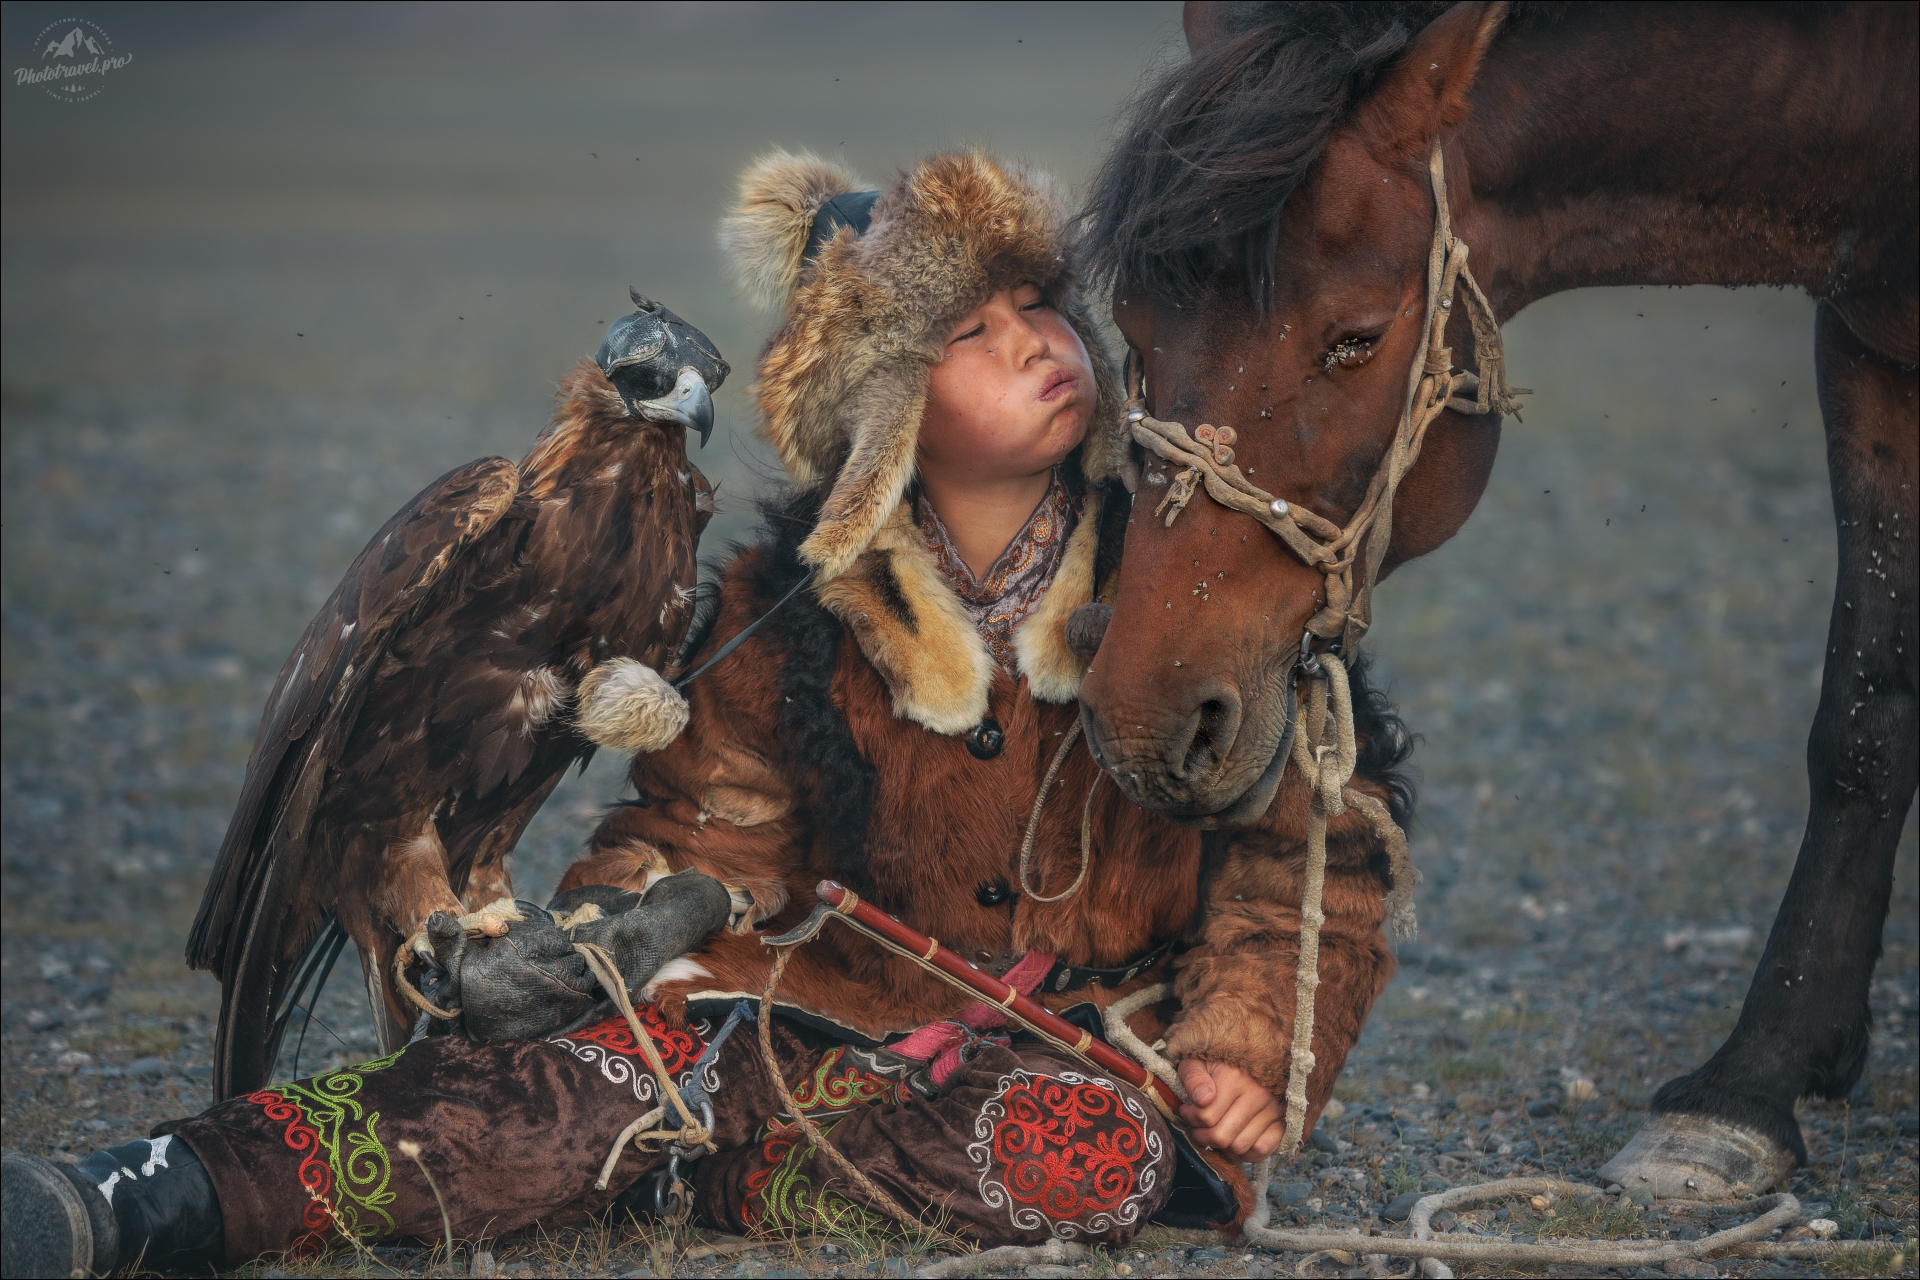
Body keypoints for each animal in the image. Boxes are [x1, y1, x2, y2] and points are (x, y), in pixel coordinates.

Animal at [1090, 5, 1912, 1197]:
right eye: (1136, 329)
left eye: (1354, 338)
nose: (1148, 720)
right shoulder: (1868, 341)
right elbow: (1864, 720)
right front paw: (1773, 1072)